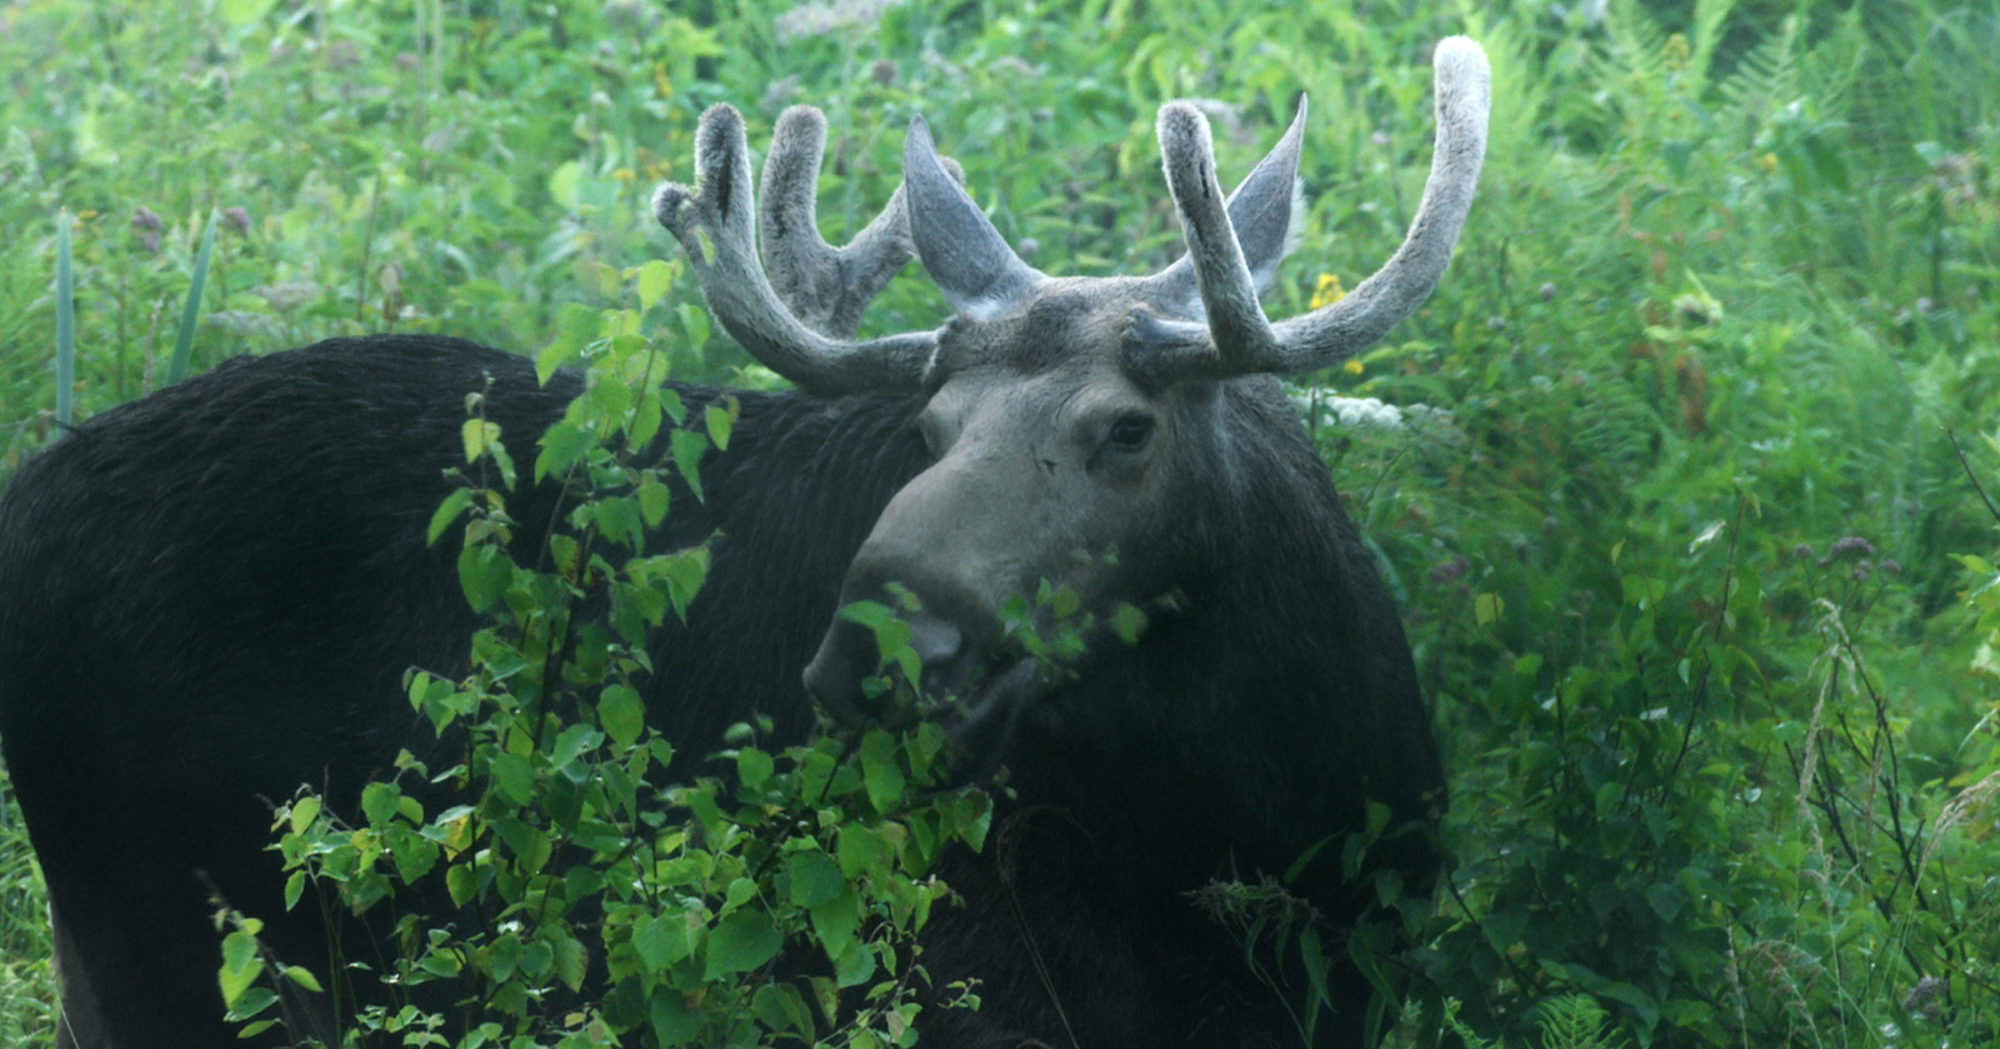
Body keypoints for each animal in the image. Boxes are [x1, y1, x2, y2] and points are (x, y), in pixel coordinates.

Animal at [0, 36, 1488, 1049]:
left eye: (1130, 428)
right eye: (929, 423)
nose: (874, 653)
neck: (1260, 799)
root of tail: (26, 498)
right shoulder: (969, 985)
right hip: (157, 941)